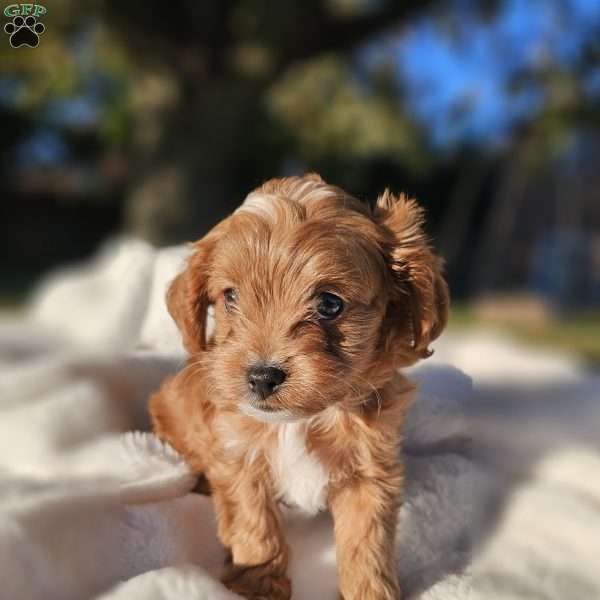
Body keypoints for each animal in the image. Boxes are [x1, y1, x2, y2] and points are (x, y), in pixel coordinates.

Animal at [152, 175, 448, 600]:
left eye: (329, 304)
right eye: (230, 297)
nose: (262, 376)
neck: (301, 421)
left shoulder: (370, 472)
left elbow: (367, 544)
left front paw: (370, 592)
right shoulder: (239, 459)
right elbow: (255, 528)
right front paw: (257, 585)